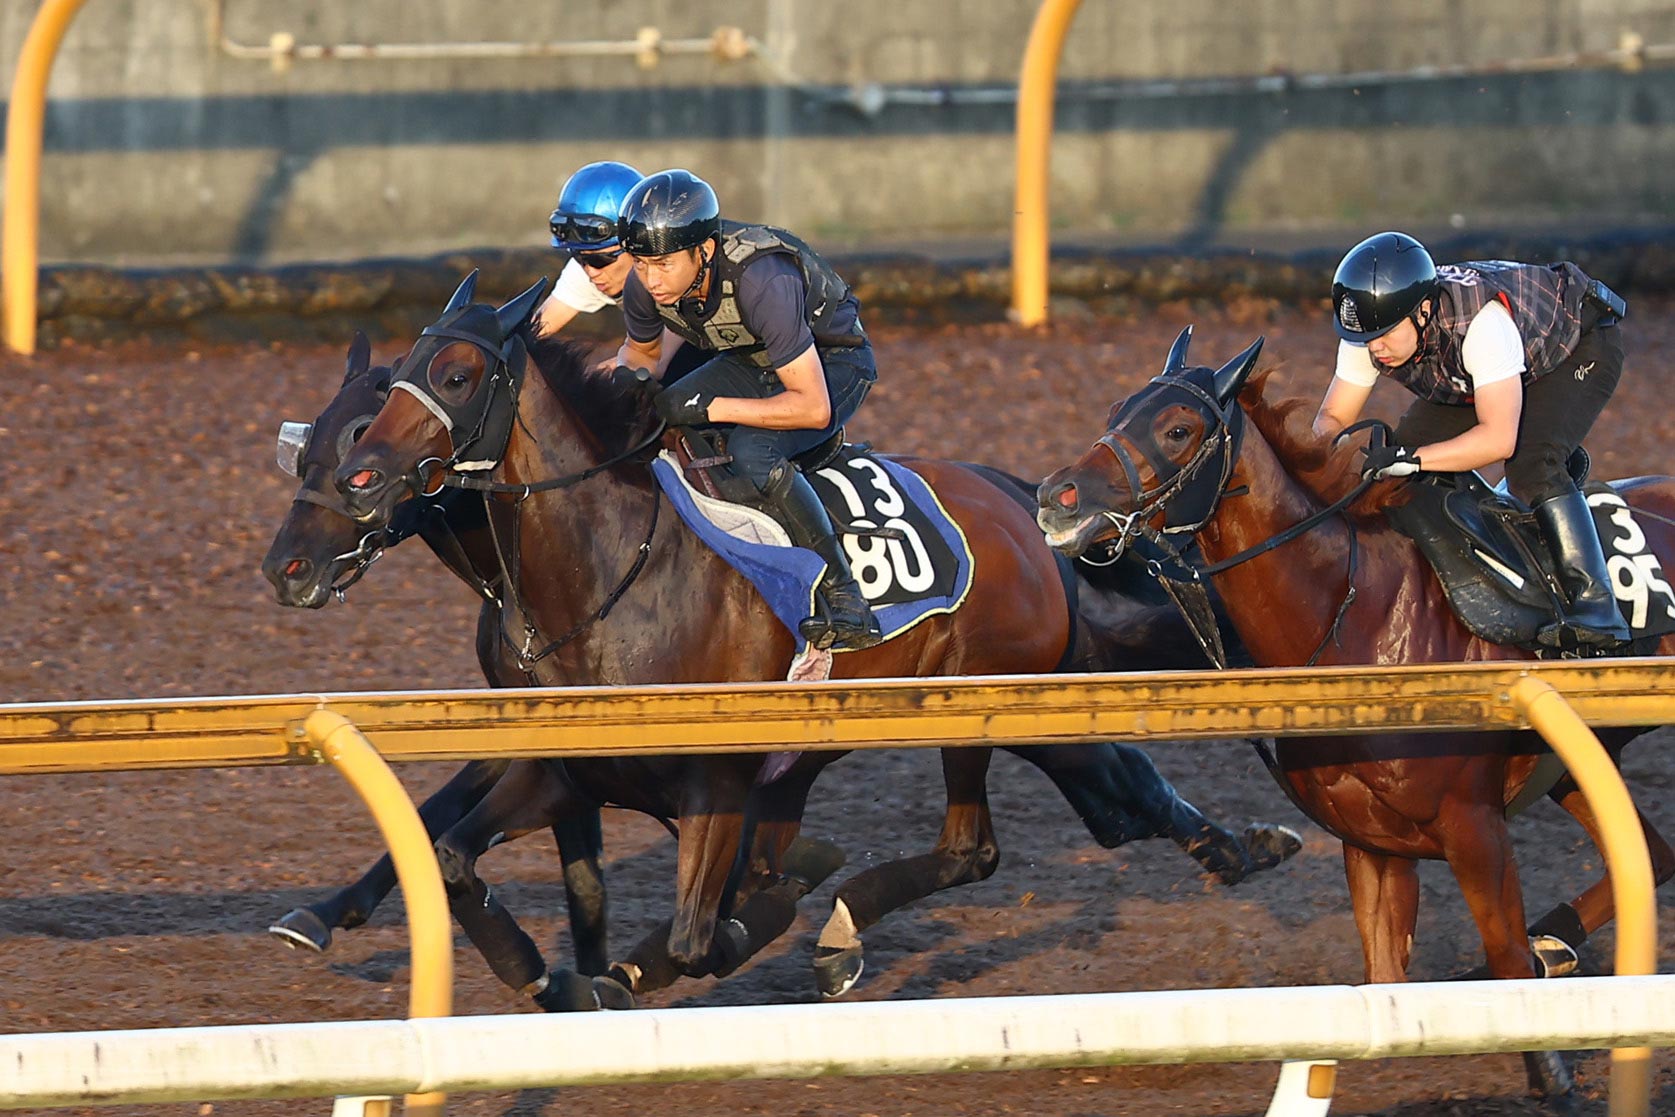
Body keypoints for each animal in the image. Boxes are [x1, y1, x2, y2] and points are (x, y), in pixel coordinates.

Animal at [312, 273, 1298, 1004]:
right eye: (397, 373)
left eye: (458, 376)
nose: (360, 479)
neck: (609, 580)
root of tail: (1021, 499)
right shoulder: (569, 763)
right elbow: (449, 854)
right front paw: (537, 971)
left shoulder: (717, 782)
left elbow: (704, 932)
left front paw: (747, 916)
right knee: (1102, 794)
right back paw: (1239, 845)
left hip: (972, 700)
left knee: (974, 846)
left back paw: (842, 927)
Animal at [1035, 327, 1675, 1094]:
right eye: (1114, 410)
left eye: (1178, 429)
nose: (1055, 498)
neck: (1355, 613)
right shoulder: (1369, 840)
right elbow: (1383, 971)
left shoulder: (1473, 825)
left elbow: (1503, 951)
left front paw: (1549, 1065)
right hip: (1576, 770)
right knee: (1655, 857)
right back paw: (1554, 944)